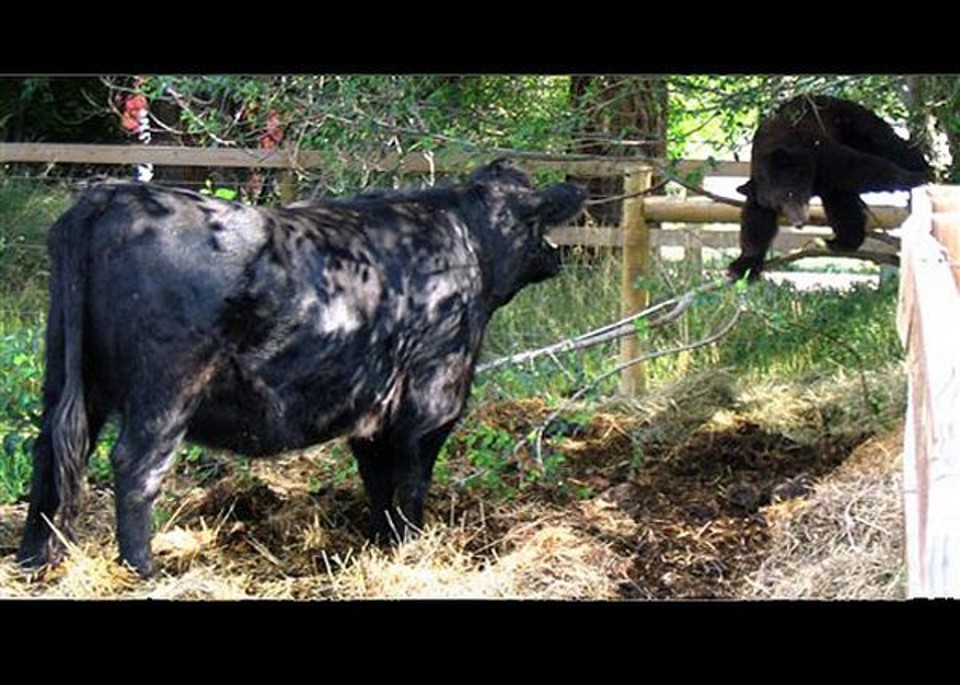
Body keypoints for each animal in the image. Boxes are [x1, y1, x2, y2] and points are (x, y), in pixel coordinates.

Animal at [728, 94, 932, 281]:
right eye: (778, 206)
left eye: (790, 193)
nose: (798, 222)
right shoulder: (759, 188)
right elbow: (756, 221)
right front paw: (743, 265)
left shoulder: (816, 153)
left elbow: (857, 167)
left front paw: (913, 178)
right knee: (841, 200)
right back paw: (842, 241)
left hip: (852, 123)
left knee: (889, 145)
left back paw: (922, 165)